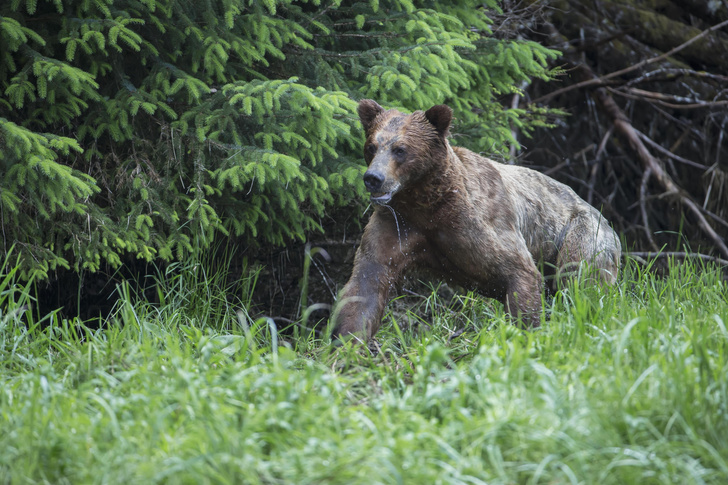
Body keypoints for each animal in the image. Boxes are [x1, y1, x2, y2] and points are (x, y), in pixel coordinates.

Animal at [330, 99, 620, 340]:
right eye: (371, 146)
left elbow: (519, 270)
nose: (373, 178)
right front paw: (346, 347)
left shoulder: (478, 223)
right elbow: (366, 284)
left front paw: (525, 334)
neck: (426, 204)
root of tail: (607, 221)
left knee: (580, 281)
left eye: (400, 149)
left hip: (582, 235)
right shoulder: (398, 225)